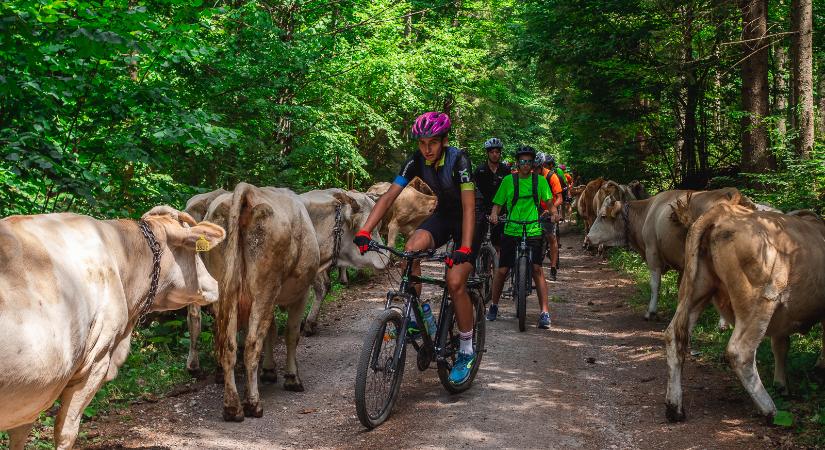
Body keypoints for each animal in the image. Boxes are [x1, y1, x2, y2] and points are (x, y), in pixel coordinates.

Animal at [0, 207, 225, 450]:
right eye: (195, 253)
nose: (216, 284)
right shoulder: (95, 361)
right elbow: (66, 431)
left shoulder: (35, 390)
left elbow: (20, 435)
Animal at [204, 183, 320, 422]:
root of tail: (248, 191)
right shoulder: (301, 293)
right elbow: (291, 334)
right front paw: (292, 377)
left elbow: (272, 331)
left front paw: (269, 370)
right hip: (264, 288)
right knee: (251, 344)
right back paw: (253, 404)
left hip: (223, 291)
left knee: (228, 345)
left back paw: (232, 407)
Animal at [664, 204, 824, 422]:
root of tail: (723, 212)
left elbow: (780, 346)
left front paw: (782, 385)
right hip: (759, 302)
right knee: (740, 351)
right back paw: (769, 410)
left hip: (695, 289)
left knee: (674, 337)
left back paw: (674, 408)